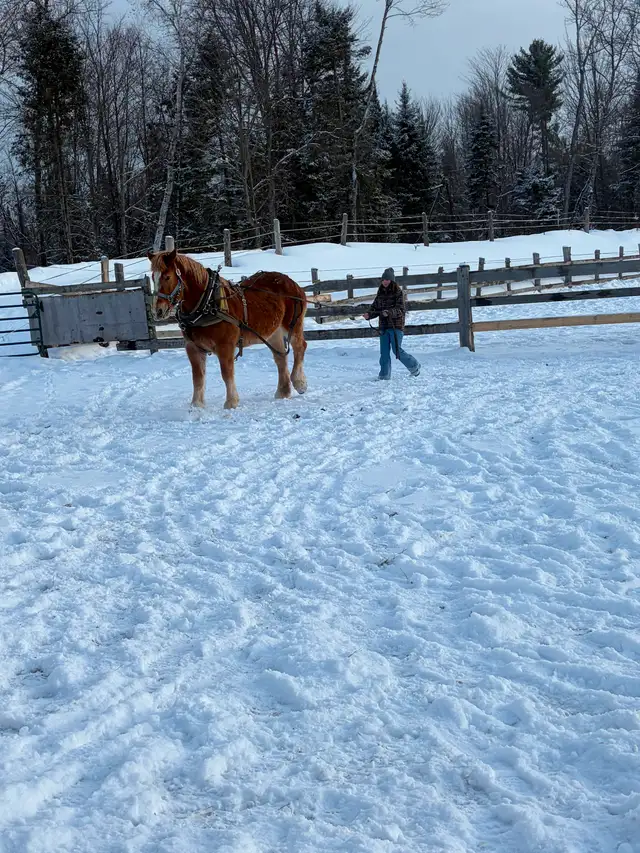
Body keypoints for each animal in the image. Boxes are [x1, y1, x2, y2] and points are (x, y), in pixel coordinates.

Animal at [148, 248, 308, 409]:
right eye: (152, 277)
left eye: (167, 277)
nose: (158, 311)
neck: (207, 303)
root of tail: (291, 283)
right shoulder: (193, 348)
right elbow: (198, 377)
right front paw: (196, 405)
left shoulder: (225, 346)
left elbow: (226, 373)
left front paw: (231, 402)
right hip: (273, 333)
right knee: (280, 357)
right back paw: (283, 392)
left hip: (293, 325)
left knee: (300, 347)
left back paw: (299, 382)